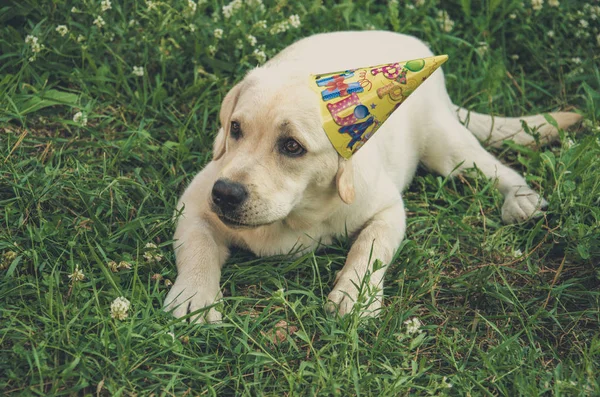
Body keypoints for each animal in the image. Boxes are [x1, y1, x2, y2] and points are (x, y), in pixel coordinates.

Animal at [163, 31, 580, 322]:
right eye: (235, 128)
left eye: (292, 146)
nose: (225, 194)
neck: (296, 214)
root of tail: (413, 43)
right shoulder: (193, 204)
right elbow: (198, 248)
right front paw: (194, 298)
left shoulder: (388, 210)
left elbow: (369, 249)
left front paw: (354, 296)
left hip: (449, 149)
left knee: (492, 165)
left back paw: (521, 197)